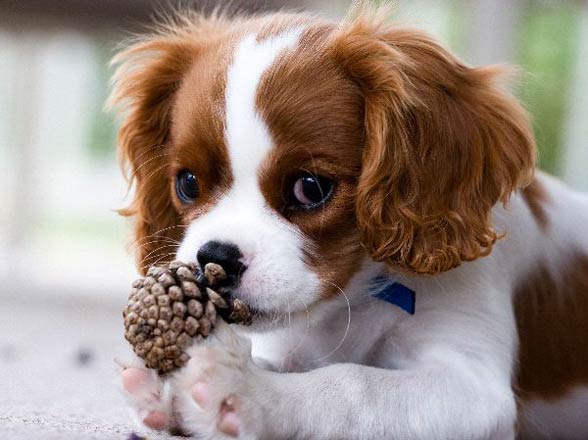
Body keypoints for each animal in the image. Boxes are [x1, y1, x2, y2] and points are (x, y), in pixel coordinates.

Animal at [109, 6, 588, 440]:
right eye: (188, 183)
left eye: (310, 187)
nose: (216, 258)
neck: (355, 302)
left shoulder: (473, 387)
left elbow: (354, 383)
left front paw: (249, 391)